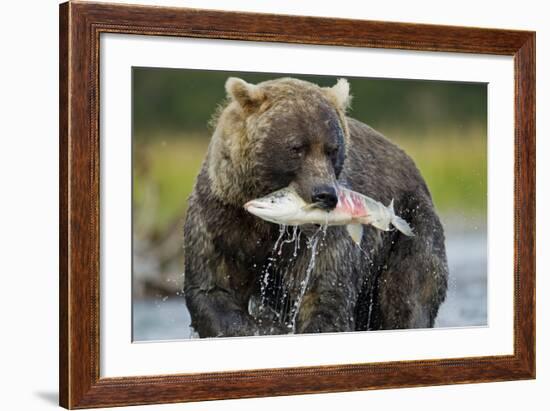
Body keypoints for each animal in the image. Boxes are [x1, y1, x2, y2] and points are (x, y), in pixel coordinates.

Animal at [183, 77, 450, 338]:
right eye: (296, 148)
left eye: (332, 149)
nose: (325, 195)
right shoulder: (221, 219)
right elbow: (214, 290)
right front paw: (269, 327)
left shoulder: (321, 239)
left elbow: (324, 294)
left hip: (409, 227)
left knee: (407, 295)